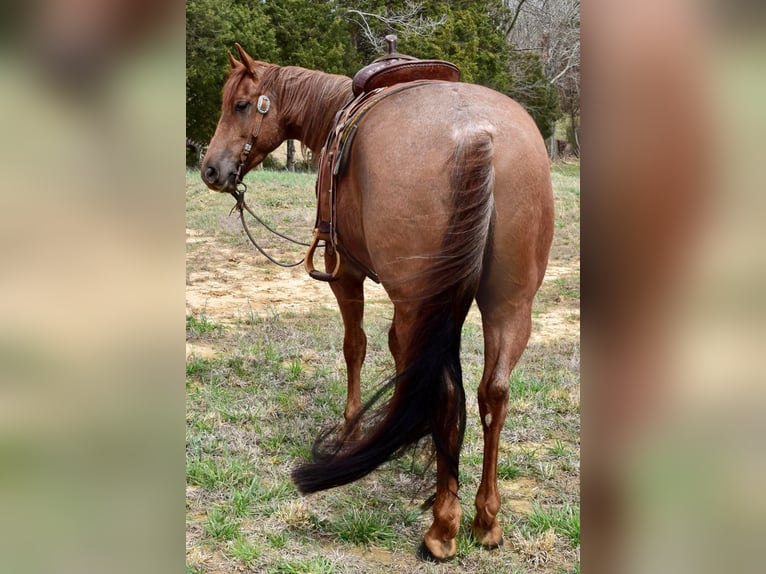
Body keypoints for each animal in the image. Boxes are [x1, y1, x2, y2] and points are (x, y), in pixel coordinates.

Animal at [201, 44, 556, 564]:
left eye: (241, 105)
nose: (210, 169)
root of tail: (479, 134)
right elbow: (399, 356)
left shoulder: (345, 273)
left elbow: (357, 346)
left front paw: (352, 429)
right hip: (509, 306)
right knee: (494, 392)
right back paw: (485, 521)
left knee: (447, 392)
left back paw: (442, 528)